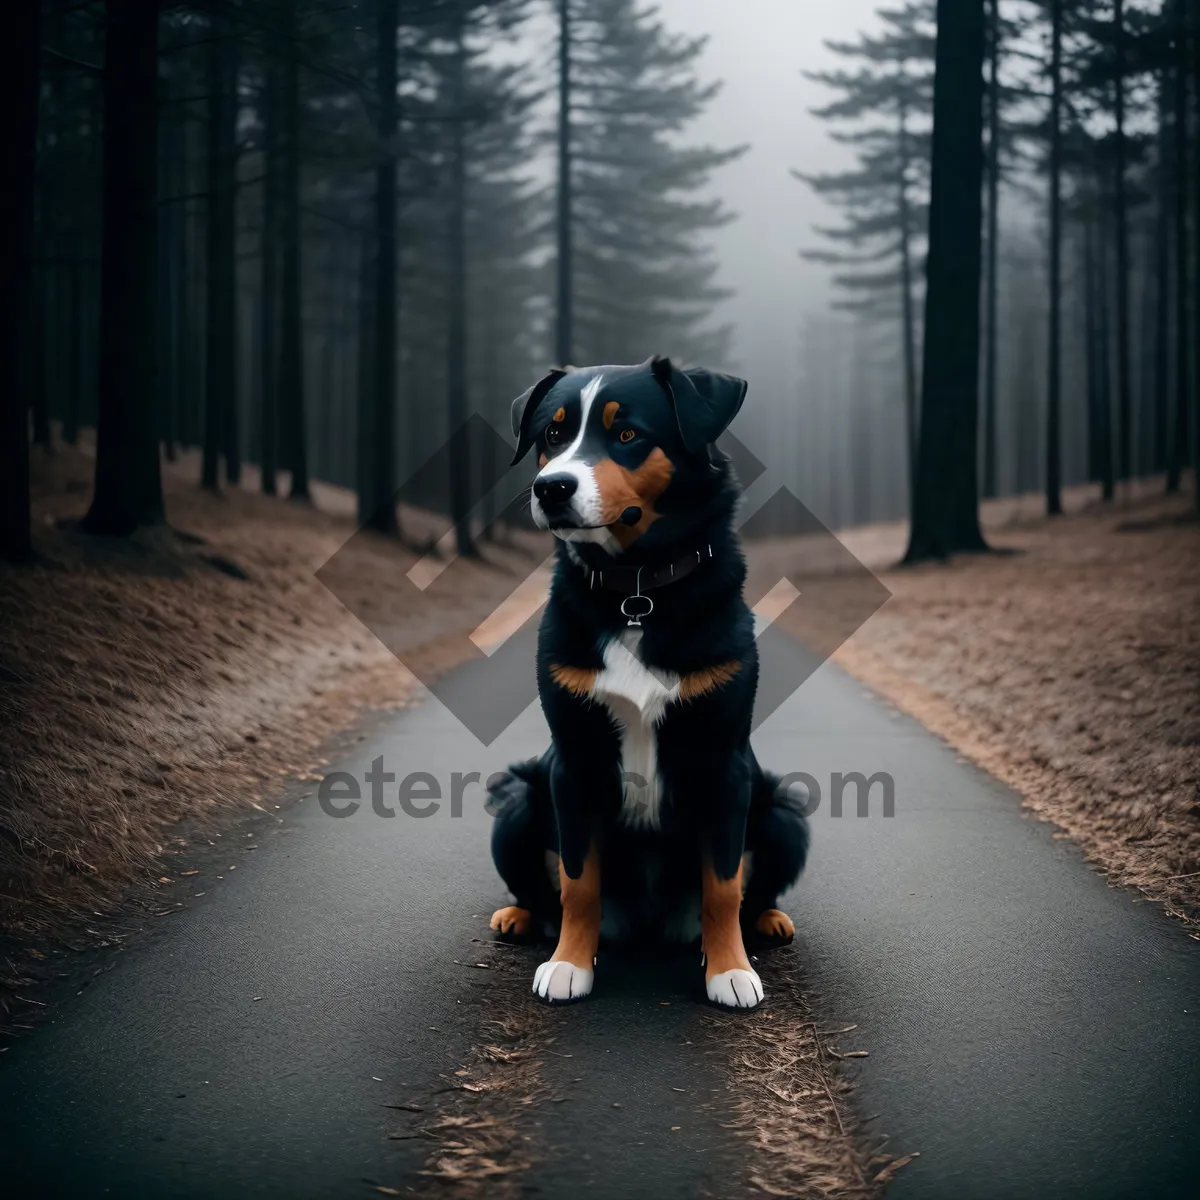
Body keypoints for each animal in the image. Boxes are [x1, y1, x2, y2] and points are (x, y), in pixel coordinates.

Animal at [484, 350, 806, 1008]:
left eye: (628, 434)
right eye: (552, 435)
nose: (551, 488)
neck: (636, 589)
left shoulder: (724, 762)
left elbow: (723, 886)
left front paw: (730, 971)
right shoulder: (573, 760)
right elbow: (578, 882)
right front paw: (569, 964)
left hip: (783, 812)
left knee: (752, 887)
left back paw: (766, 921)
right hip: (519, 801)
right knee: (541, 888)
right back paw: (520, 917)